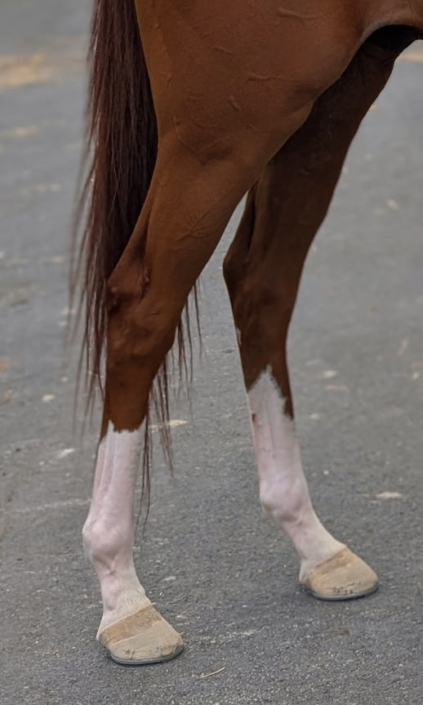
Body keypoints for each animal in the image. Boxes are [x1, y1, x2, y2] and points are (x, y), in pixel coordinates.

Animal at [73, 0, 423, 665]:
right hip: (231, 126)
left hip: (335, 92)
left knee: (261, 280)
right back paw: (124, 601)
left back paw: (315, 546)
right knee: (144, 306)